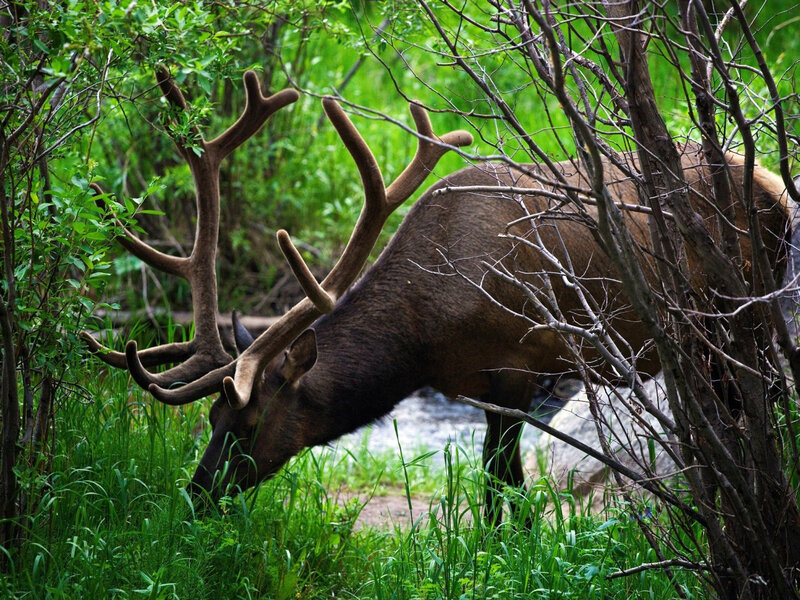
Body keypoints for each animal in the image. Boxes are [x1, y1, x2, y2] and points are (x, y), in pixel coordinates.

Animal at [85, 67, 792, 524]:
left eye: (249, 424)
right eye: (211, 419)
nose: (196, 496)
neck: (424, 338)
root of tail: (775, 183)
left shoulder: (517, 364)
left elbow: (502, 489)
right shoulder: (476, 384)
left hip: (743, 313)